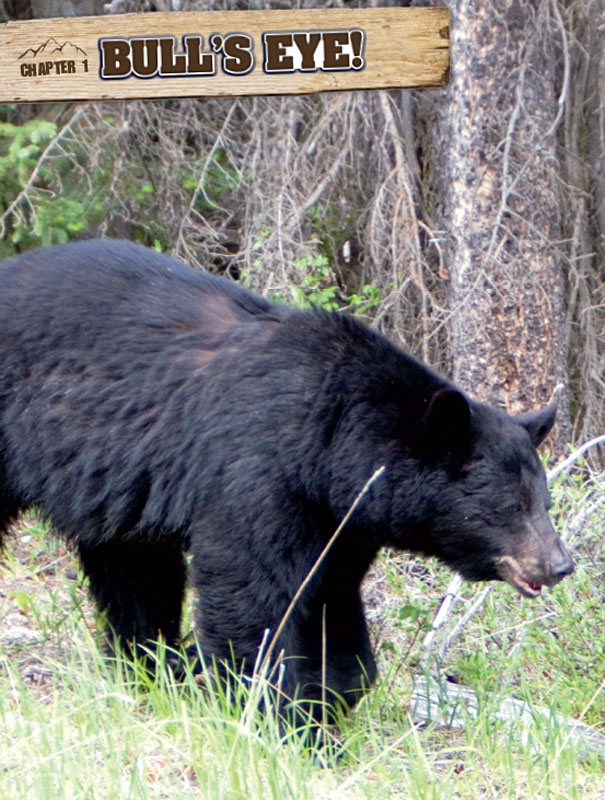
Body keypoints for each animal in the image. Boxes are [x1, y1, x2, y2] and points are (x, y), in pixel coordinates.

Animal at [0, 241, 572, 720]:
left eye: (544, 502)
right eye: (513, 505)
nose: (560, 564)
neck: (329, 440)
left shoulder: (340, 521)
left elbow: (329, 599)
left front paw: (331, 696)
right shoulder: (257, 473)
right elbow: (251, 593)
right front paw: (279, 716)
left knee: (133, 571)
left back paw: (151, 667)